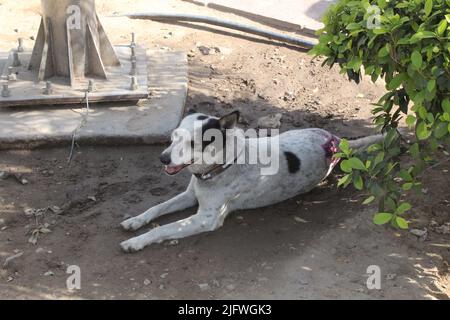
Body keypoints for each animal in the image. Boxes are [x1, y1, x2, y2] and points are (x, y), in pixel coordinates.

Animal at [120, 110, 384, 252]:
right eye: (174, 136)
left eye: (193, 143)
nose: (162, 158)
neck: (222, 167)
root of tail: (337, 142)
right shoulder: (189, 196)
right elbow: (156, 208)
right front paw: (135, 221)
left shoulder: (206, 219)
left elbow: (163, 228)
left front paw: (136, 241)